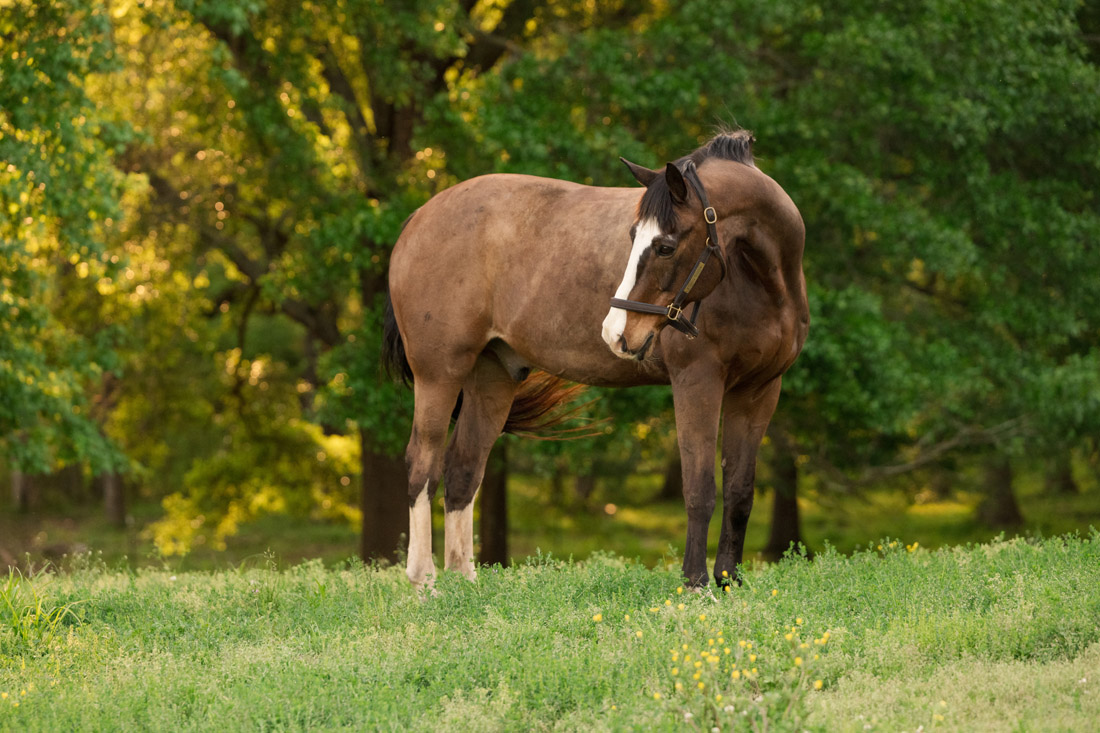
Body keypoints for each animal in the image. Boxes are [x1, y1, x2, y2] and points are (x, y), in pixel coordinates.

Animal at [383, 130, 808, 590]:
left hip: (492, 376)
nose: (615, 332)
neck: (762, 284)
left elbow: (739, 492)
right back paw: (424, 581)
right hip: (439, 373)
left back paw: (465, 584)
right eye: (632, 236)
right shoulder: (698, 382)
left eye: (665, 246)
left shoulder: (759, 390)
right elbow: (700, 489)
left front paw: (729, 583)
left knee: (463, 469)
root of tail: (419, 218)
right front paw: (696, 584)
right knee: (422, 464)